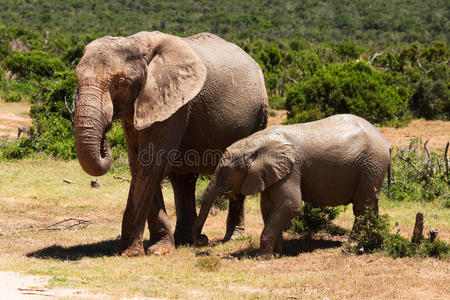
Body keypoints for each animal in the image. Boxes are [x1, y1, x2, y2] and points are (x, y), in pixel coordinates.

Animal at [73, 31, 268, 255]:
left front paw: (132, 252)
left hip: (259, 115)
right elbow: (139, 165)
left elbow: (150, 164)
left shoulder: (174, 103)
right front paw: (156, 249)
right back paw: (185, 240)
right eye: (76, 77)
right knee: (183, 181)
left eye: (121, 83)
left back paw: (231, 238)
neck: (137, 43)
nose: (104, 140)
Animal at [192, 113, 390, 258]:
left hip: (371, 164)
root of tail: (386, 143)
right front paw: (277, 253)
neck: (256, 143)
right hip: (371, 168)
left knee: (362, 207)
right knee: (370, 205)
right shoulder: (272, 174)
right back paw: (372, 244)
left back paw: (351, 248)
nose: (204, 240)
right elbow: (268, 208)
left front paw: (262, 258)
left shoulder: (292, 169)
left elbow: (290, 205)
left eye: (226, 171)